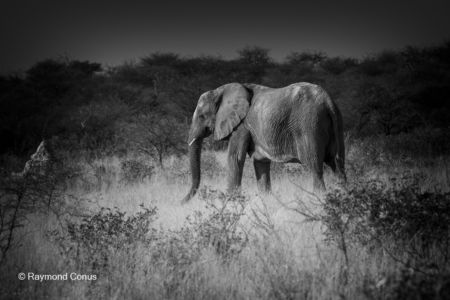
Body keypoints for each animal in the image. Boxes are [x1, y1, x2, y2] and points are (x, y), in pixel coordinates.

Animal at [181, 82, 346, 202]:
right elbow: (260, 163)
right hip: (336, 123)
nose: (181, 202)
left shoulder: (241, 126)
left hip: (310, 126)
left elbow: (235, 158)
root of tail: (328, 101)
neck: (221, 90)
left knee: (315, 168)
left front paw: (230, 202)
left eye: (201, 116)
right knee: (338, 167)